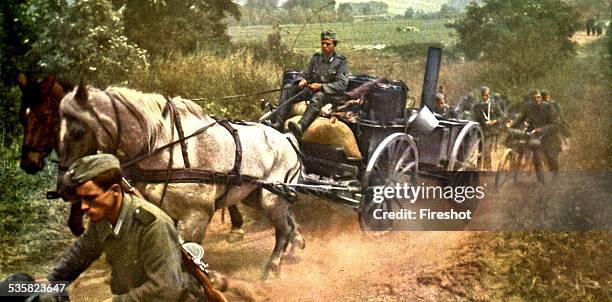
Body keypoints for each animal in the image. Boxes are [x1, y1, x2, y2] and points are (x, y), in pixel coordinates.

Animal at [56, 84, 304, 278]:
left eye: (77, 132)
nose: (63, 185)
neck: (166, 147)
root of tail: (287, 137)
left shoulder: (196, 218)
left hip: (271, 197)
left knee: (282, 229)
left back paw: (272, 268)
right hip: (254, 196)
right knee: (289, 220)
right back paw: (297, 241)